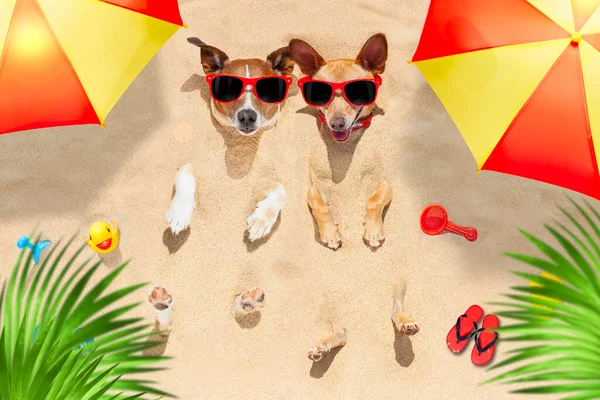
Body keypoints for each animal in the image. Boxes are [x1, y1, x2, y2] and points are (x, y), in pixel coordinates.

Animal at [184, 37, 294, 241]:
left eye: (267, 89)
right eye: (228, 88)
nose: (247, 116)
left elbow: (281, 192)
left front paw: (261, 220)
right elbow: (185, 176)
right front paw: (179, 213)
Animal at [290, 34, 394, 252]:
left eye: (359, 92)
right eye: (321, 94)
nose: (336, 123)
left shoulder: (384, 184)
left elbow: (373, 201)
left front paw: (373, 231)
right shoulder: (312, 190)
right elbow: (321, 207)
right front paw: (330, 234)